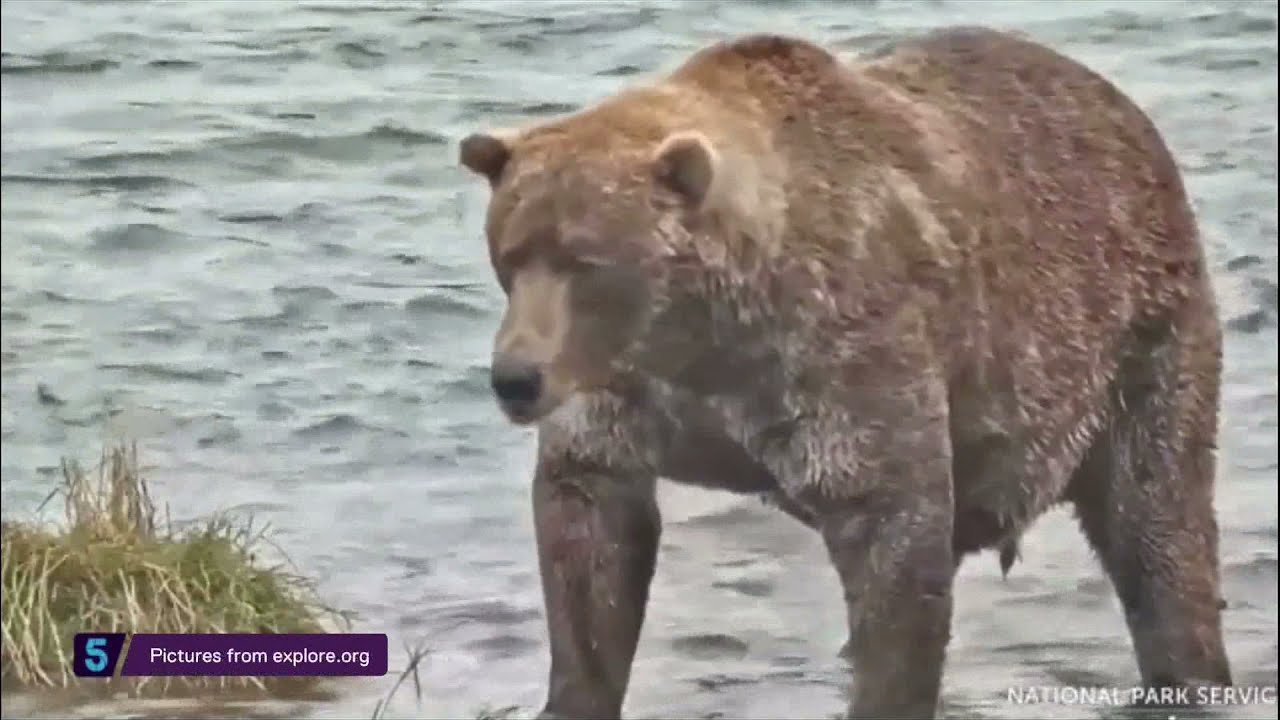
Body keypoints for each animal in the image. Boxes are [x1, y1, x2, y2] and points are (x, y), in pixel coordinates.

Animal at [457, 26, 1234, 720]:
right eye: (509, 253)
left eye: (585, 259)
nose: (515, 377)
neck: (705, 336)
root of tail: (1121, 108)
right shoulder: (625, 398)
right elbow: (589, 536)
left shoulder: (846, 359)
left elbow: (891, 541)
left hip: (1139, 335)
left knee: (1158, 528)